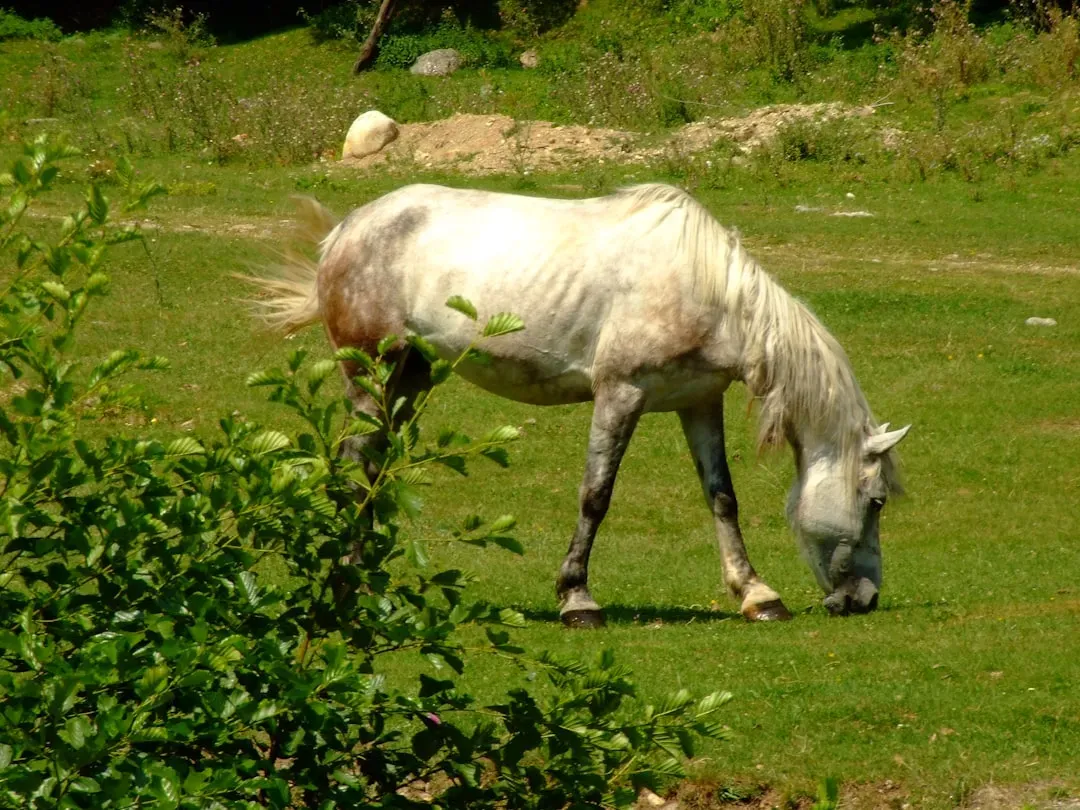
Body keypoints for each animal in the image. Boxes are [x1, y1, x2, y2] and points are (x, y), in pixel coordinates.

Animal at [249, 183, 909, 627]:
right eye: (875, 501)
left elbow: (722, 498)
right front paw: (577, 600)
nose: (865, 600)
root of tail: (347, 228)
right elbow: (596, 495)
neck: (710, 292)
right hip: (373, 375)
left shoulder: (698, 402)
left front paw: (757, 595)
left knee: (376, 469)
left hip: (411, 377)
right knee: (356, 469)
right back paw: (349, 583)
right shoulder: (620, 394)